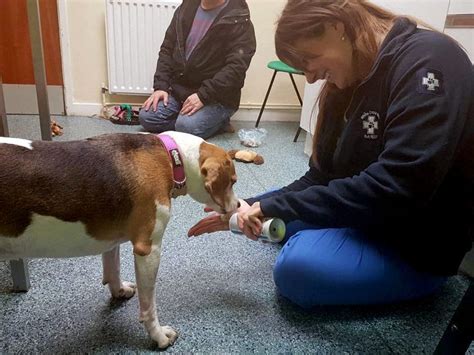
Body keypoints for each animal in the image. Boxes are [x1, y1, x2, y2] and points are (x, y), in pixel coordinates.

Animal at [0, 131, 237, 350]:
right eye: (233, 182)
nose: (237, 206)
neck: (170, 156)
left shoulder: (111, 240)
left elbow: (113, 268)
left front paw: (119, 291)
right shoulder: (148, 250)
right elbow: (149, 307)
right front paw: (158, 336)